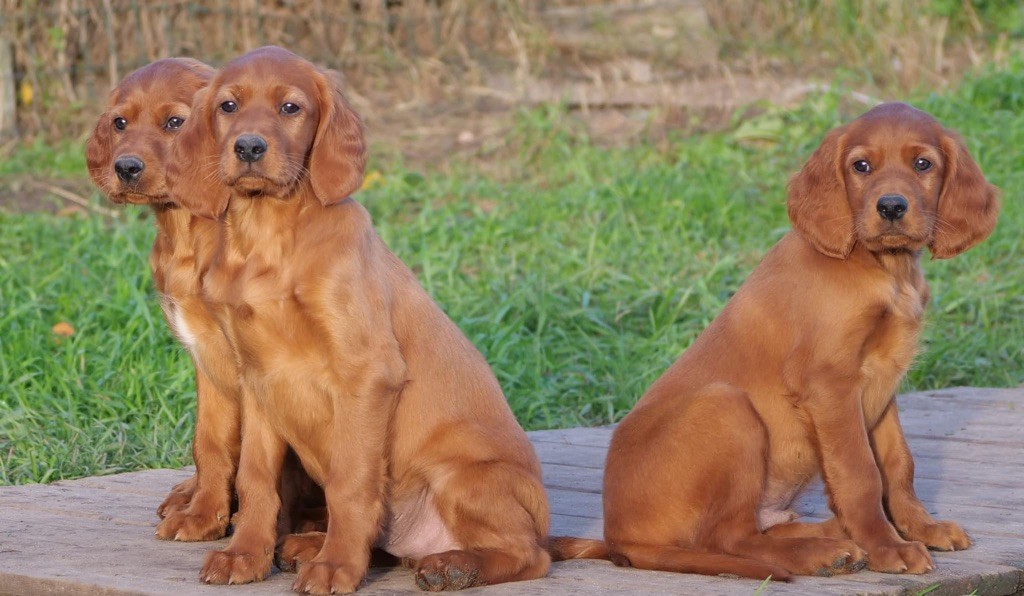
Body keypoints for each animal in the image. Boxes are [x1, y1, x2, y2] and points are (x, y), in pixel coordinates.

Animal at [167, 47, 552, 596]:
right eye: (228, 106)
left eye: (290, 107)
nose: (249, 147)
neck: (270, 237)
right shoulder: (257, 379)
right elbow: (257, 477)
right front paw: (245, 555)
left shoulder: (367, 376)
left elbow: (350, 482)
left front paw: (336, 568)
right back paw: (309, 546)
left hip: (465, 479)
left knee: (531, 555)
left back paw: (451, 566)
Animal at [552, 103, 999, 585]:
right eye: (861, 166)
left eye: (923, 164)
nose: (892, 207)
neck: (883, 267)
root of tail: (617, 539)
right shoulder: (830, 384)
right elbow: (861, 472)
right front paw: (888, 547)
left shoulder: (883, 384)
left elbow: (898, 465)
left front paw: (921, 528)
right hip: (725, 407)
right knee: (731, 539)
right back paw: (821, 553)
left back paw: (832, 534)